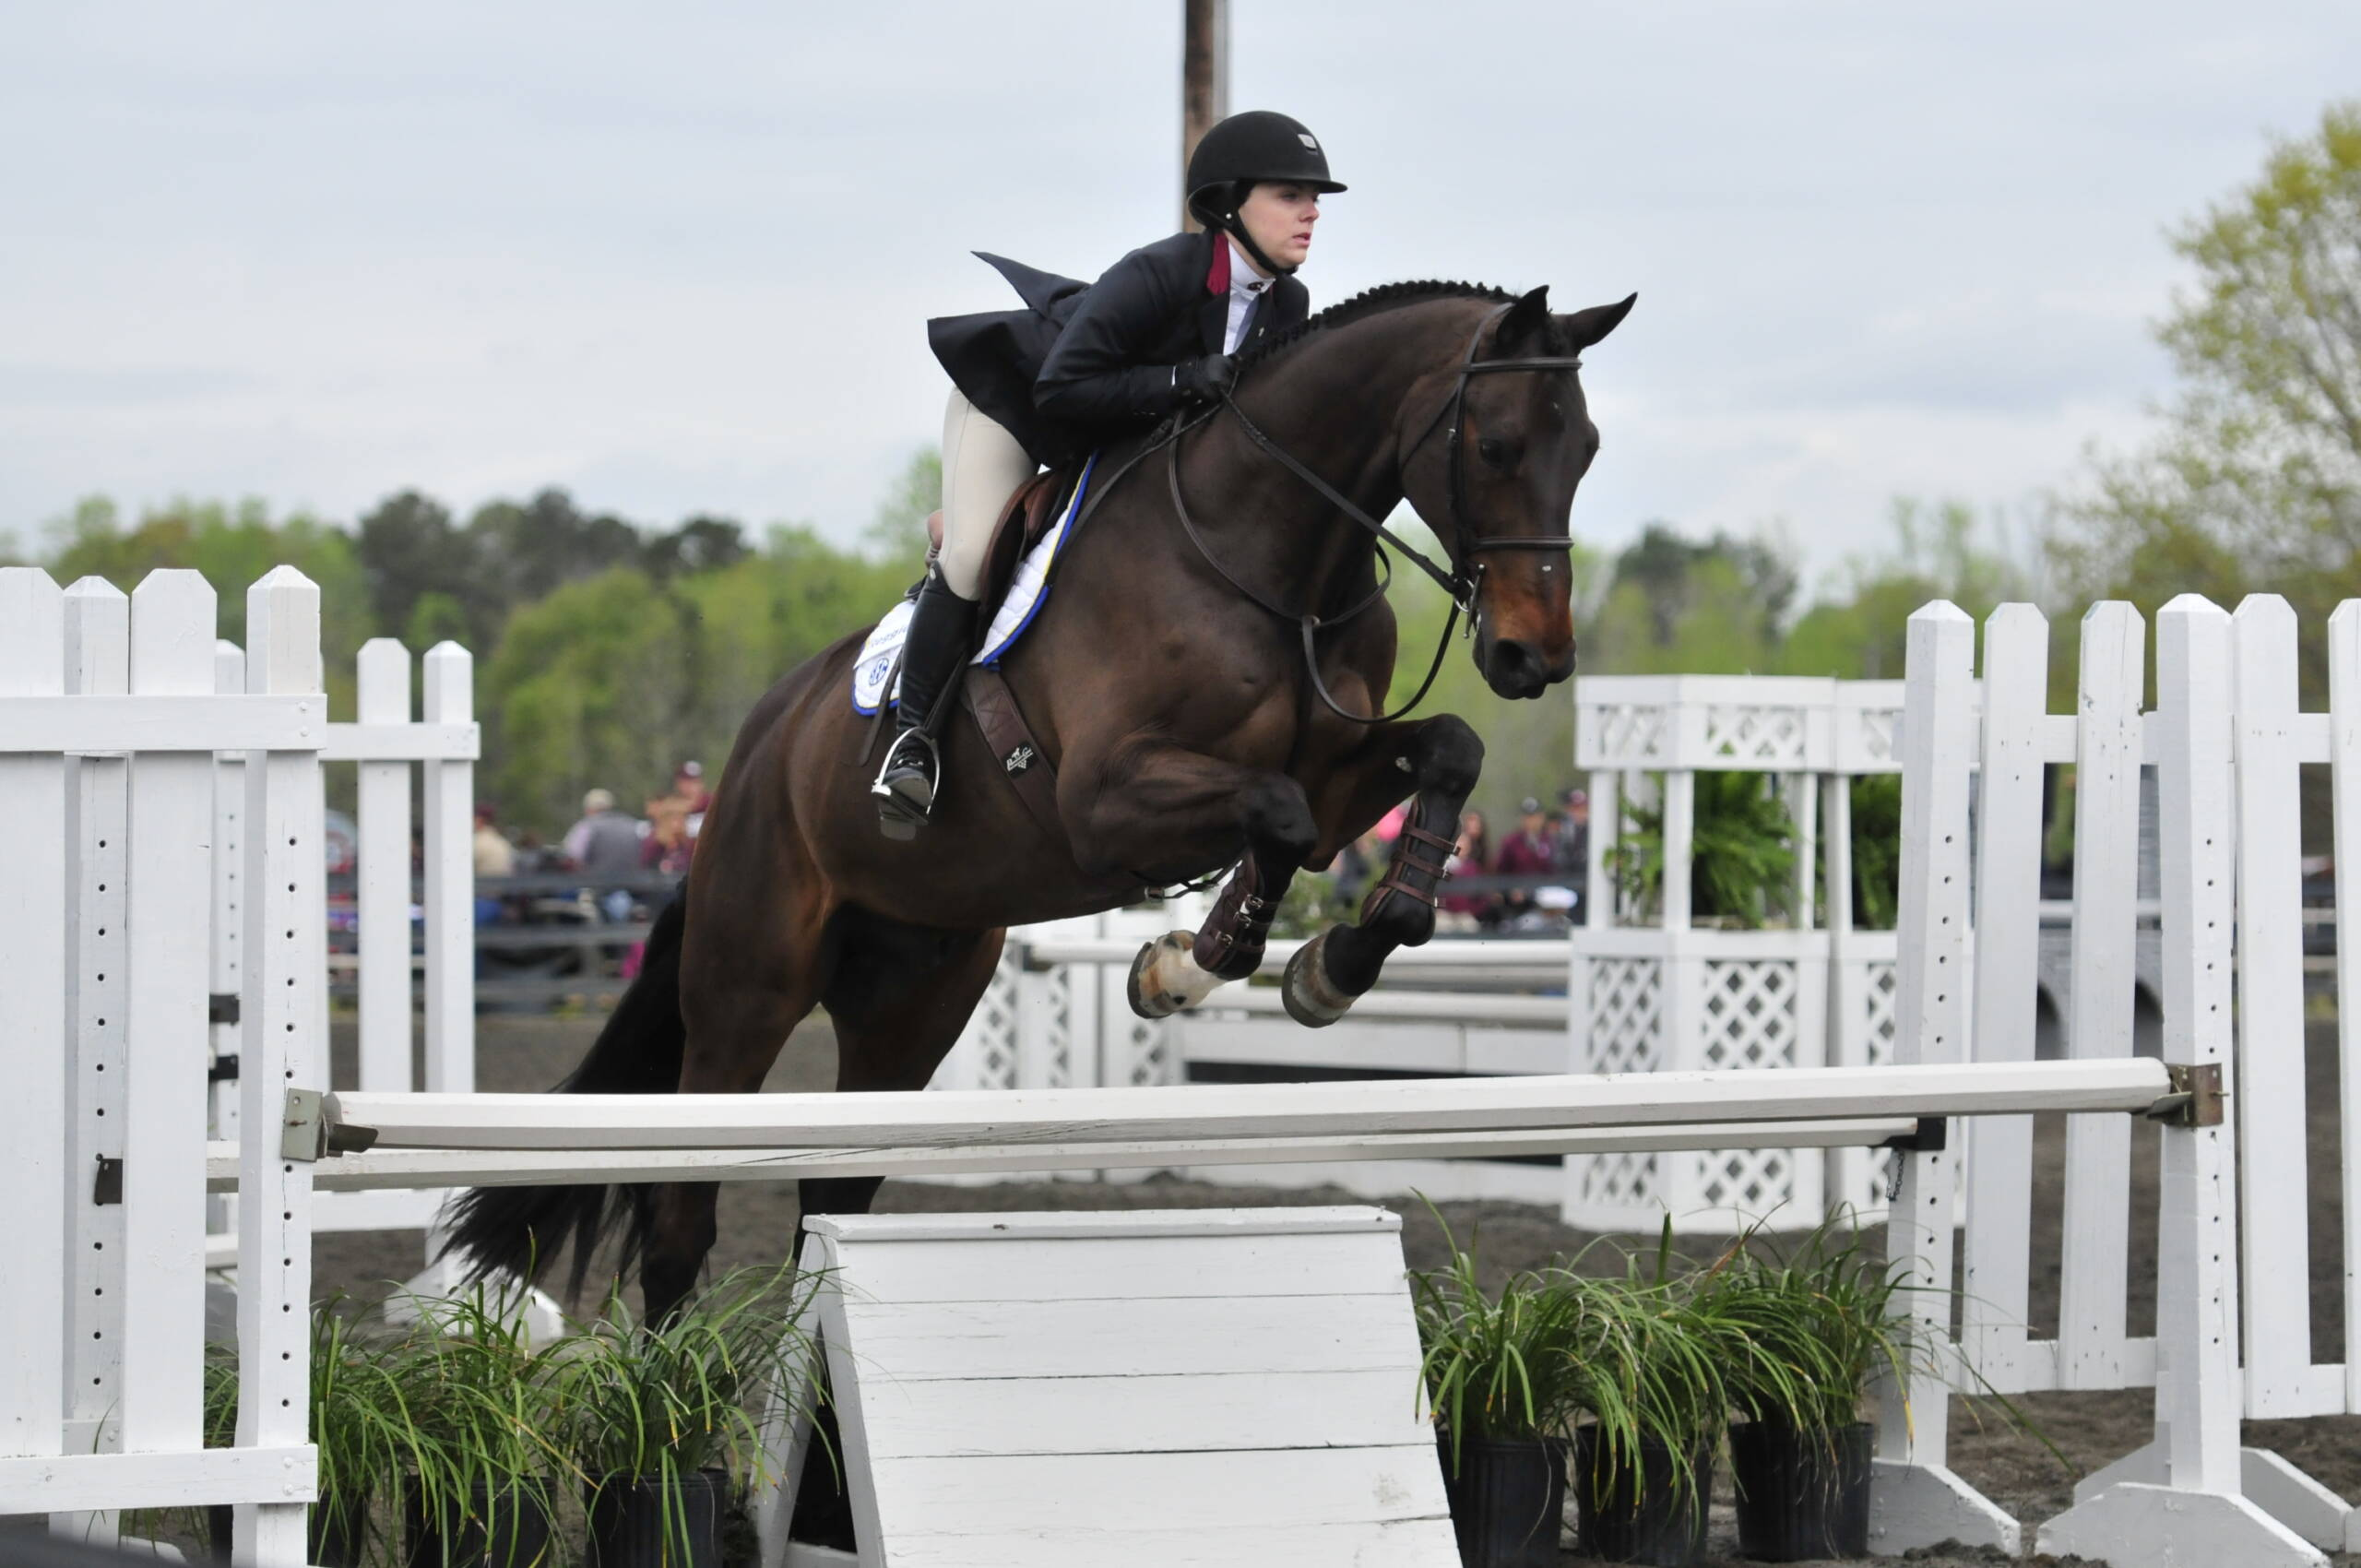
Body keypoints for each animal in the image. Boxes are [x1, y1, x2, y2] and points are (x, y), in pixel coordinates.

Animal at [450, 275, 1643, 1313]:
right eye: (1495, 446)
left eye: (1586, 450)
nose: (1535, 656)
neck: (1269, 557)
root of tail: (748, 756)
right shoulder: (1104, 802)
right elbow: (1276, 814)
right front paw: (1188, 964)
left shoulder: (1338, 767)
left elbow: (1437, 757)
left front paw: (1333, 958)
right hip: (747, 990)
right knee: (679, 1221)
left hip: (910, 1002)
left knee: (830, 1201)